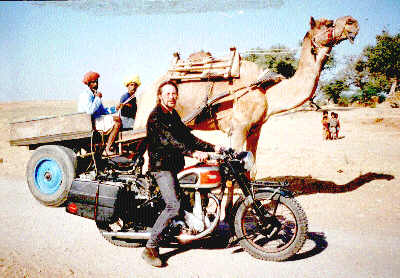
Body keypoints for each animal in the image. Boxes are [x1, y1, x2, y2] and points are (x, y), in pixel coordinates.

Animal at [134, 15, 360, 214]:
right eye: (329, 23)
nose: (352, 22)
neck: (267, 92)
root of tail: (143, 92)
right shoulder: (239, 127)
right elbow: (232, 174)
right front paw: (227, 214)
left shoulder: (255, 129)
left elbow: (251, 170)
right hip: (142, 122)